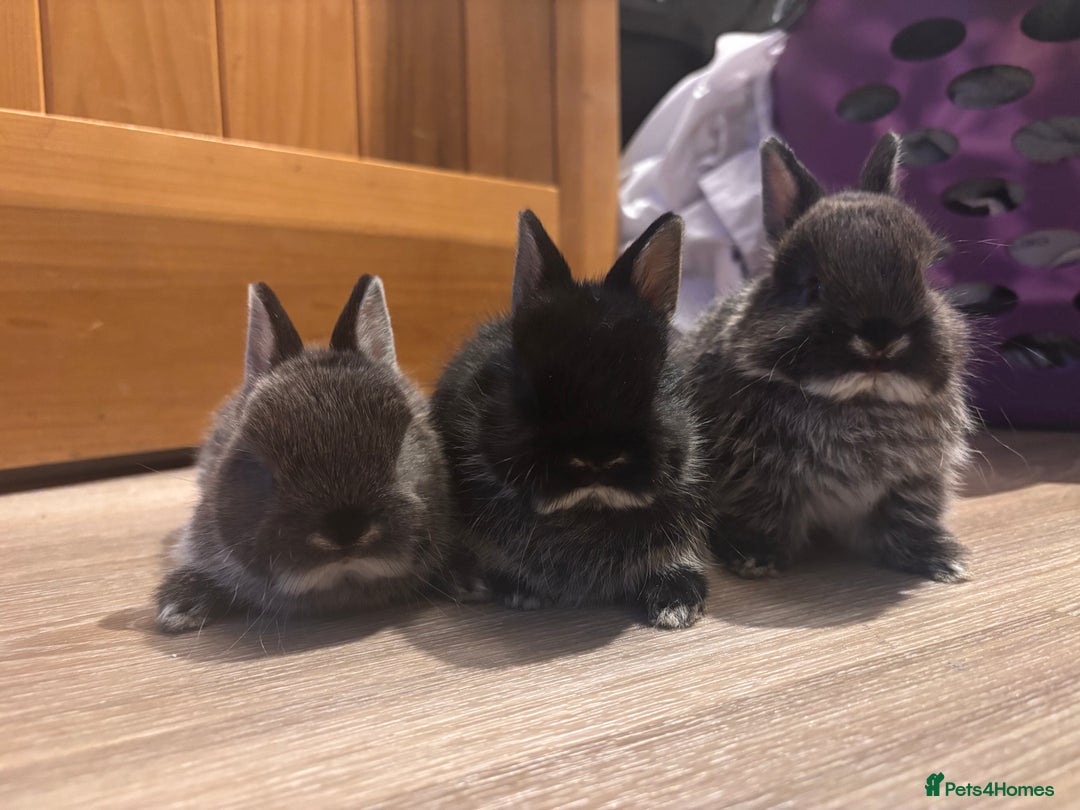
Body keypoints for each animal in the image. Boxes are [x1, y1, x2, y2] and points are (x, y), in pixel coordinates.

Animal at [431, 210, 711, 629]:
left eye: (659, 380)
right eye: (525, 383)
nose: (598, 458)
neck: (588, 510)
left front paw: (676, 607)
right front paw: (520, 593)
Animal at [675, 133, 972, 582]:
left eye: (925, 276)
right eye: (811, 286)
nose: (881, 338)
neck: (860, 400)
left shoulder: (914, 483)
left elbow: (906, 520)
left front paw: (943, 559)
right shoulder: (755, 482)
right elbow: (760, 517)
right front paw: (754, 559)